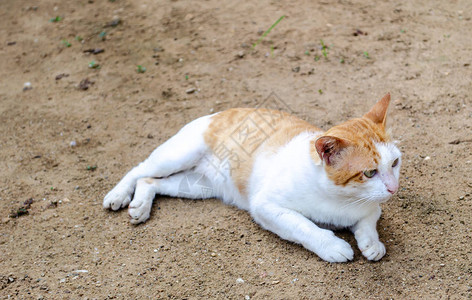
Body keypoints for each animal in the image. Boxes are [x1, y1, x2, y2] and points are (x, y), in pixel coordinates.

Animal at [104, 94, 402, 262]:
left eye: (395, 163)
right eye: (369, 172)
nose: (393, 188)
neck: (342, 199)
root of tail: (218, 112)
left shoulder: (371, 208)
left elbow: (368, 221)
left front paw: (371, 244)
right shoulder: (266, 206)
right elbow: (304, 226)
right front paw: (332, 245)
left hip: (197, 186)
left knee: (151, 182)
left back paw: (140, 205)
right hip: (177, 156)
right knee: (140, 170)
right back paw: (118, 195)